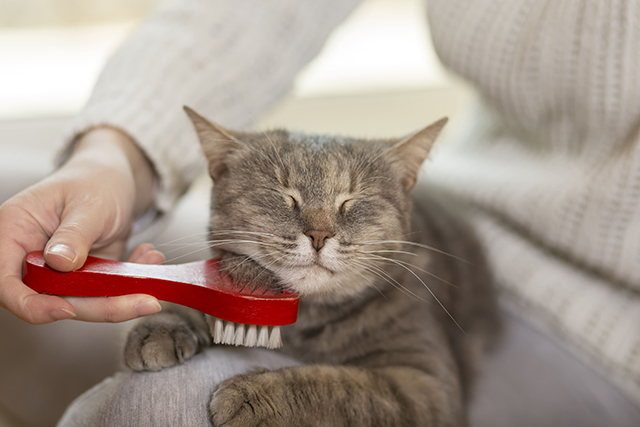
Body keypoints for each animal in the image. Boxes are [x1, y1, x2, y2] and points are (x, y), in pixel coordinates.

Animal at [121, 107, 500, 427]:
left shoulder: (427, 387)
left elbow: (340, 387)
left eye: (350, 201)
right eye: (285, 195)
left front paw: (255, 395)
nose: (319, 234)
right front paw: (162, 324)